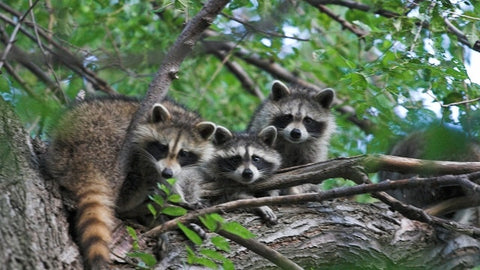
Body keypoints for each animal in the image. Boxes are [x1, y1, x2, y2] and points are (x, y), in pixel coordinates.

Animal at [44, 96, 217, 268]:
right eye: (163, 147)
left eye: (183, 153)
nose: (167, 172)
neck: (179, 113)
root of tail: (83, 158)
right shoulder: (144, 151)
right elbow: (159, 179)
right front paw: (180, 202)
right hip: (109, 143)